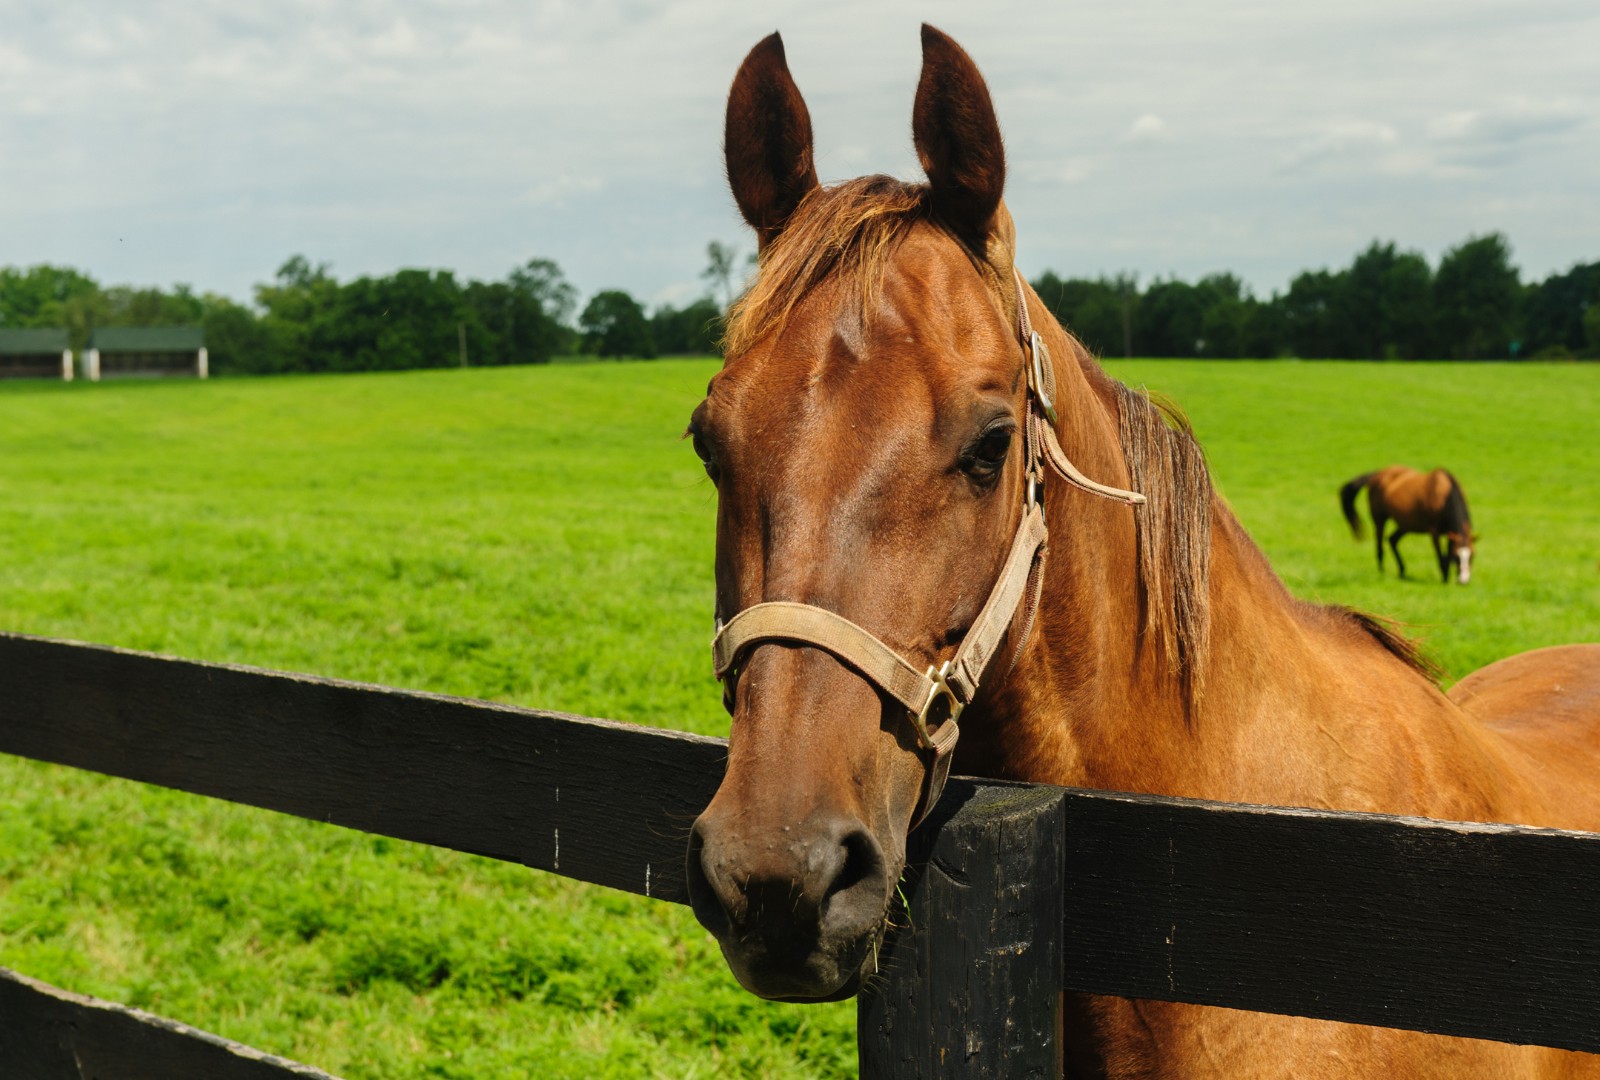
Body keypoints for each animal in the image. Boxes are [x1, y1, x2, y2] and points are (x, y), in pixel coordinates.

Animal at [1341, 465, 1477, 584]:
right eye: (1456, 557)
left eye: (1472, 556)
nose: (1464, 581)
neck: (1444, 495)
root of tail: (1378, 474)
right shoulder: (1434, 532)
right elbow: (1441, 557)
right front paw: (1444, 579)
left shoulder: (1450, 533)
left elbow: (1446, 555)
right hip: (1380, 519)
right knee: (1380, 544)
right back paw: (1382, 571)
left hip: (1405, 525)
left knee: (1392, 540)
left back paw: (1402, 570)